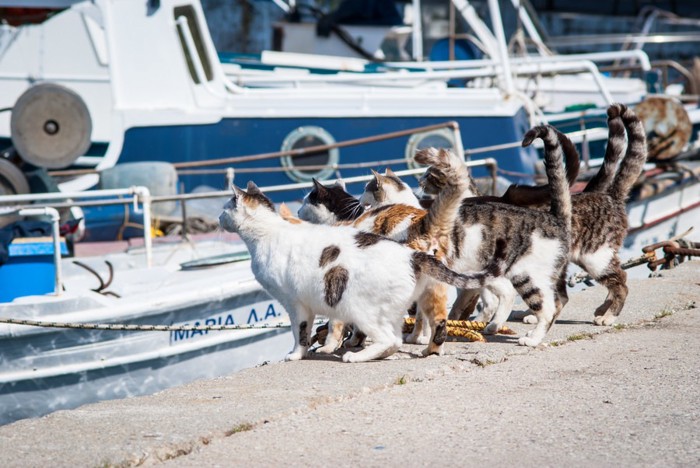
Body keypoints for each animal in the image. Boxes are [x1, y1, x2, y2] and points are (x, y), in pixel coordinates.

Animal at [219, 181, 504, 364]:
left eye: (223, 208)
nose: (219, 219)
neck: (267, 232)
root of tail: (411, 254)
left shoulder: (296, 304)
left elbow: (300, 333)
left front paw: (297, 354)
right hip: (418, 299)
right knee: (423, 328)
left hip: (360, 308)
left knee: (391, 339)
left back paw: (355, 357)